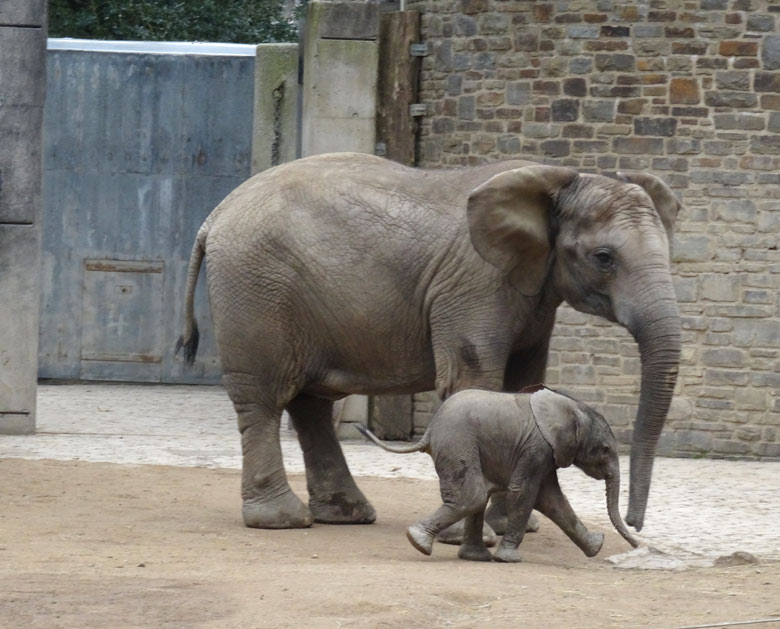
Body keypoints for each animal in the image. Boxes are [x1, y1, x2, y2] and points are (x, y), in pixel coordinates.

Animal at [175, 150, 676, 532]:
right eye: (604, 257)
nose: (635, 525)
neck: (556, 180)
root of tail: (214, 216)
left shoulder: (534, 294)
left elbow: (524, 385)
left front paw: (513, 526)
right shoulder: (474, 286)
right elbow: (474, 382)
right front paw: (478, 532)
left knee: (310, 403)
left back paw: (346, 515)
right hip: (255, 291)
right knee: (264, 397)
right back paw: (281, 521)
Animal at [356, 386, 636, 560]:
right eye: (605, 449)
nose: (637, 544)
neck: (571, 407)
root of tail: (429, 430)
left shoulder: (546, 454)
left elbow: (551, 500)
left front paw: (596, 546)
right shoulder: (537, 448)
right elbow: (524, 494)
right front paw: (509, 559)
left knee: (477, 497)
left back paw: (472, 556)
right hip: (458, 443)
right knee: (473, 496)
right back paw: (418, 542)